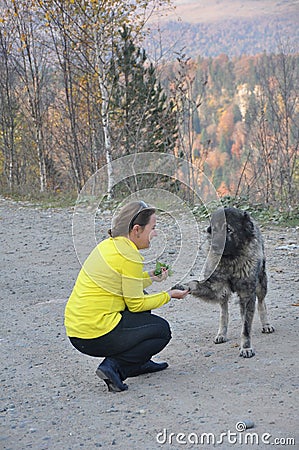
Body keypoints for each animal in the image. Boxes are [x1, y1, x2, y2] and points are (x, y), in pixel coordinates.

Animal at [176, 207, 276, 358]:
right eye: (214, 230)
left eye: (228, 230)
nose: (214, 245)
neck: (231, 262)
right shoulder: (215, 288)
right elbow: (194, 283)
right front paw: (182, 286)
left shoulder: (247, 294)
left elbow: (246, 327)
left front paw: (246, 347)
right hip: (223, 295)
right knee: (224, 312)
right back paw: (221, 333)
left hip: (261, 284)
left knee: (261, 302)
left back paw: (266, 324)